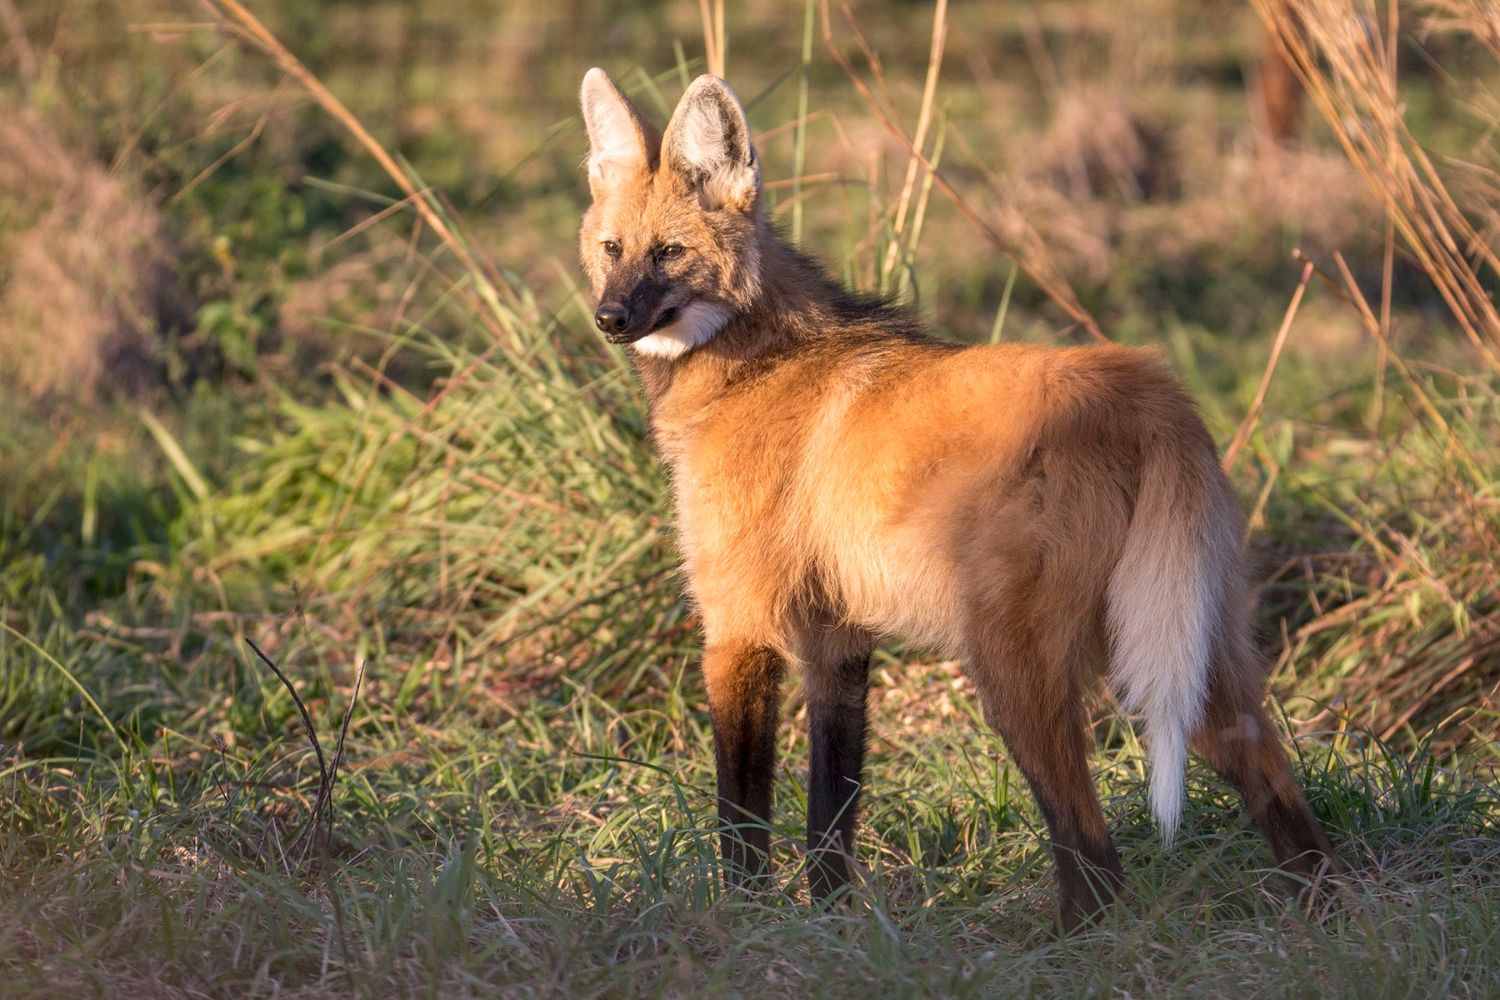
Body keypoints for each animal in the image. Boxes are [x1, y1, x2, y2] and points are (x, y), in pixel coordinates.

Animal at [573, 68, 1338, 929]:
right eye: (612, 250)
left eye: (669, 252)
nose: (611, 318)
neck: (754, 362)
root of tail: (1146, 389)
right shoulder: (837, 641)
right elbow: (830, 817)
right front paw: (836, 926)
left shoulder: (739, 627)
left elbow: (743, 823)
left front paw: (742, 923)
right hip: (1183, 641)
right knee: (1274, 786)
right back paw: (1325, 918)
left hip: (1011, 665)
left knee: (1094, 853)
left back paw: (1065, 941)